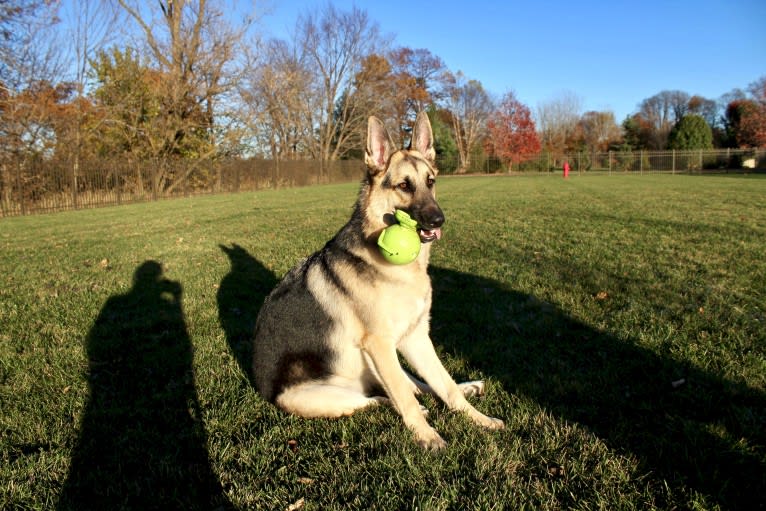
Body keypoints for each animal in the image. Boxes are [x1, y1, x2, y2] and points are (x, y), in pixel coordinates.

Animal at [254, 113, 504, 452]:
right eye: (403, 186)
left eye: (431, 182)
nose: (438, 221)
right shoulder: (381, 343)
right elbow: (404, 398)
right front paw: (428, 437)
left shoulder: (415, 338)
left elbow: (444, 384)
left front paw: (478, 418)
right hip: (330, 396)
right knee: (381, 398)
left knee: (418, 384)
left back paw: (468, 387)